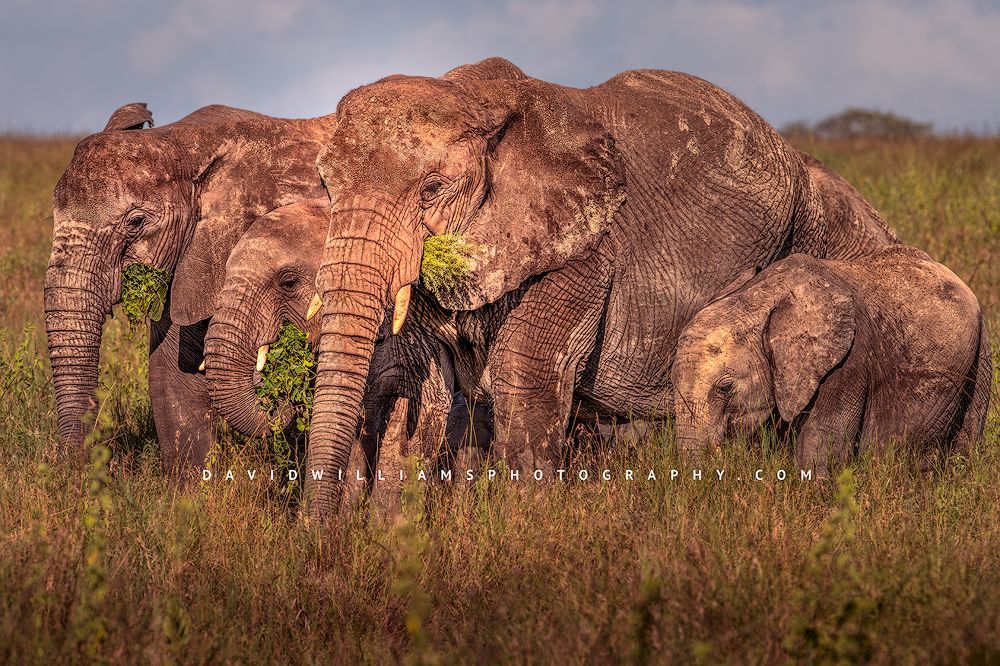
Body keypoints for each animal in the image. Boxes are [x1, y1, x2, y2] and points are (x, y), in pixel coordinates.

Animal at [301, 56, 901, 517]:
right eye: (326, 184)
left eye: (432, 189)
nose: (321, 533)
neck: (476, 99)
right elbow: (428, 383)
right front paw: (397, 534)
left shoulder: (587, 249)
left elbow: (523, 372)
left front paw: (526, 531)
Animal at [671, 245, 992, 474]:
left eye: (725, 388)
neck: (759, 298)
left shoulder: (847, 362)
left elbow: (821, 441)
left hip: (981, 352)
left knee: (965, 442)